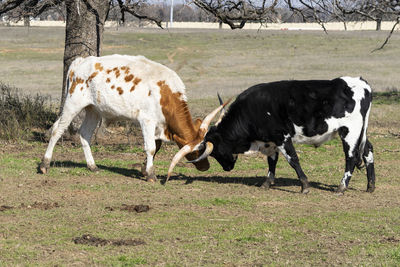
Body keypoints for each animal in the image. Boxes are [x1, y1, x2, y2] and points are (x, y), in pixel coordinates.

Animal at [39, 54, 225, 181]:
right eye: (195, 151)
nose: (206, 167)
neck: (165, 93)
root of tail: (81, 61)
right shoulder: (147, 121)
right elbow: (151, 148)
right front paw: (150, 175)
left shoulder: (158, 125)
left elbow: (156, 147)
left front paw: (144, 170)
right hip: (73, 103)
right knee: (57, 130)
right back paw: (44, 165)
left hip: (94, 110)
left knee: (84, 134)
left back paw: (92, 166)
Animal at [167, 76, 376, 194]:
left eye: (215, 152)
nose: (227, 168)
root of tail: (361, 83)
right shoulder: (270, 142)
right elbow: (271, 162)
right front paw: (267, 183)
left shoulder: (282, 137)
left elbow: (293, 160)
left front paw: (305, 186)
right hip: (360, 132)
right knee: (368, 151)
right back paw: (370, 186)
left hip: (349, 132)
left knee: (350, 158)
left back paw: (342, 187)